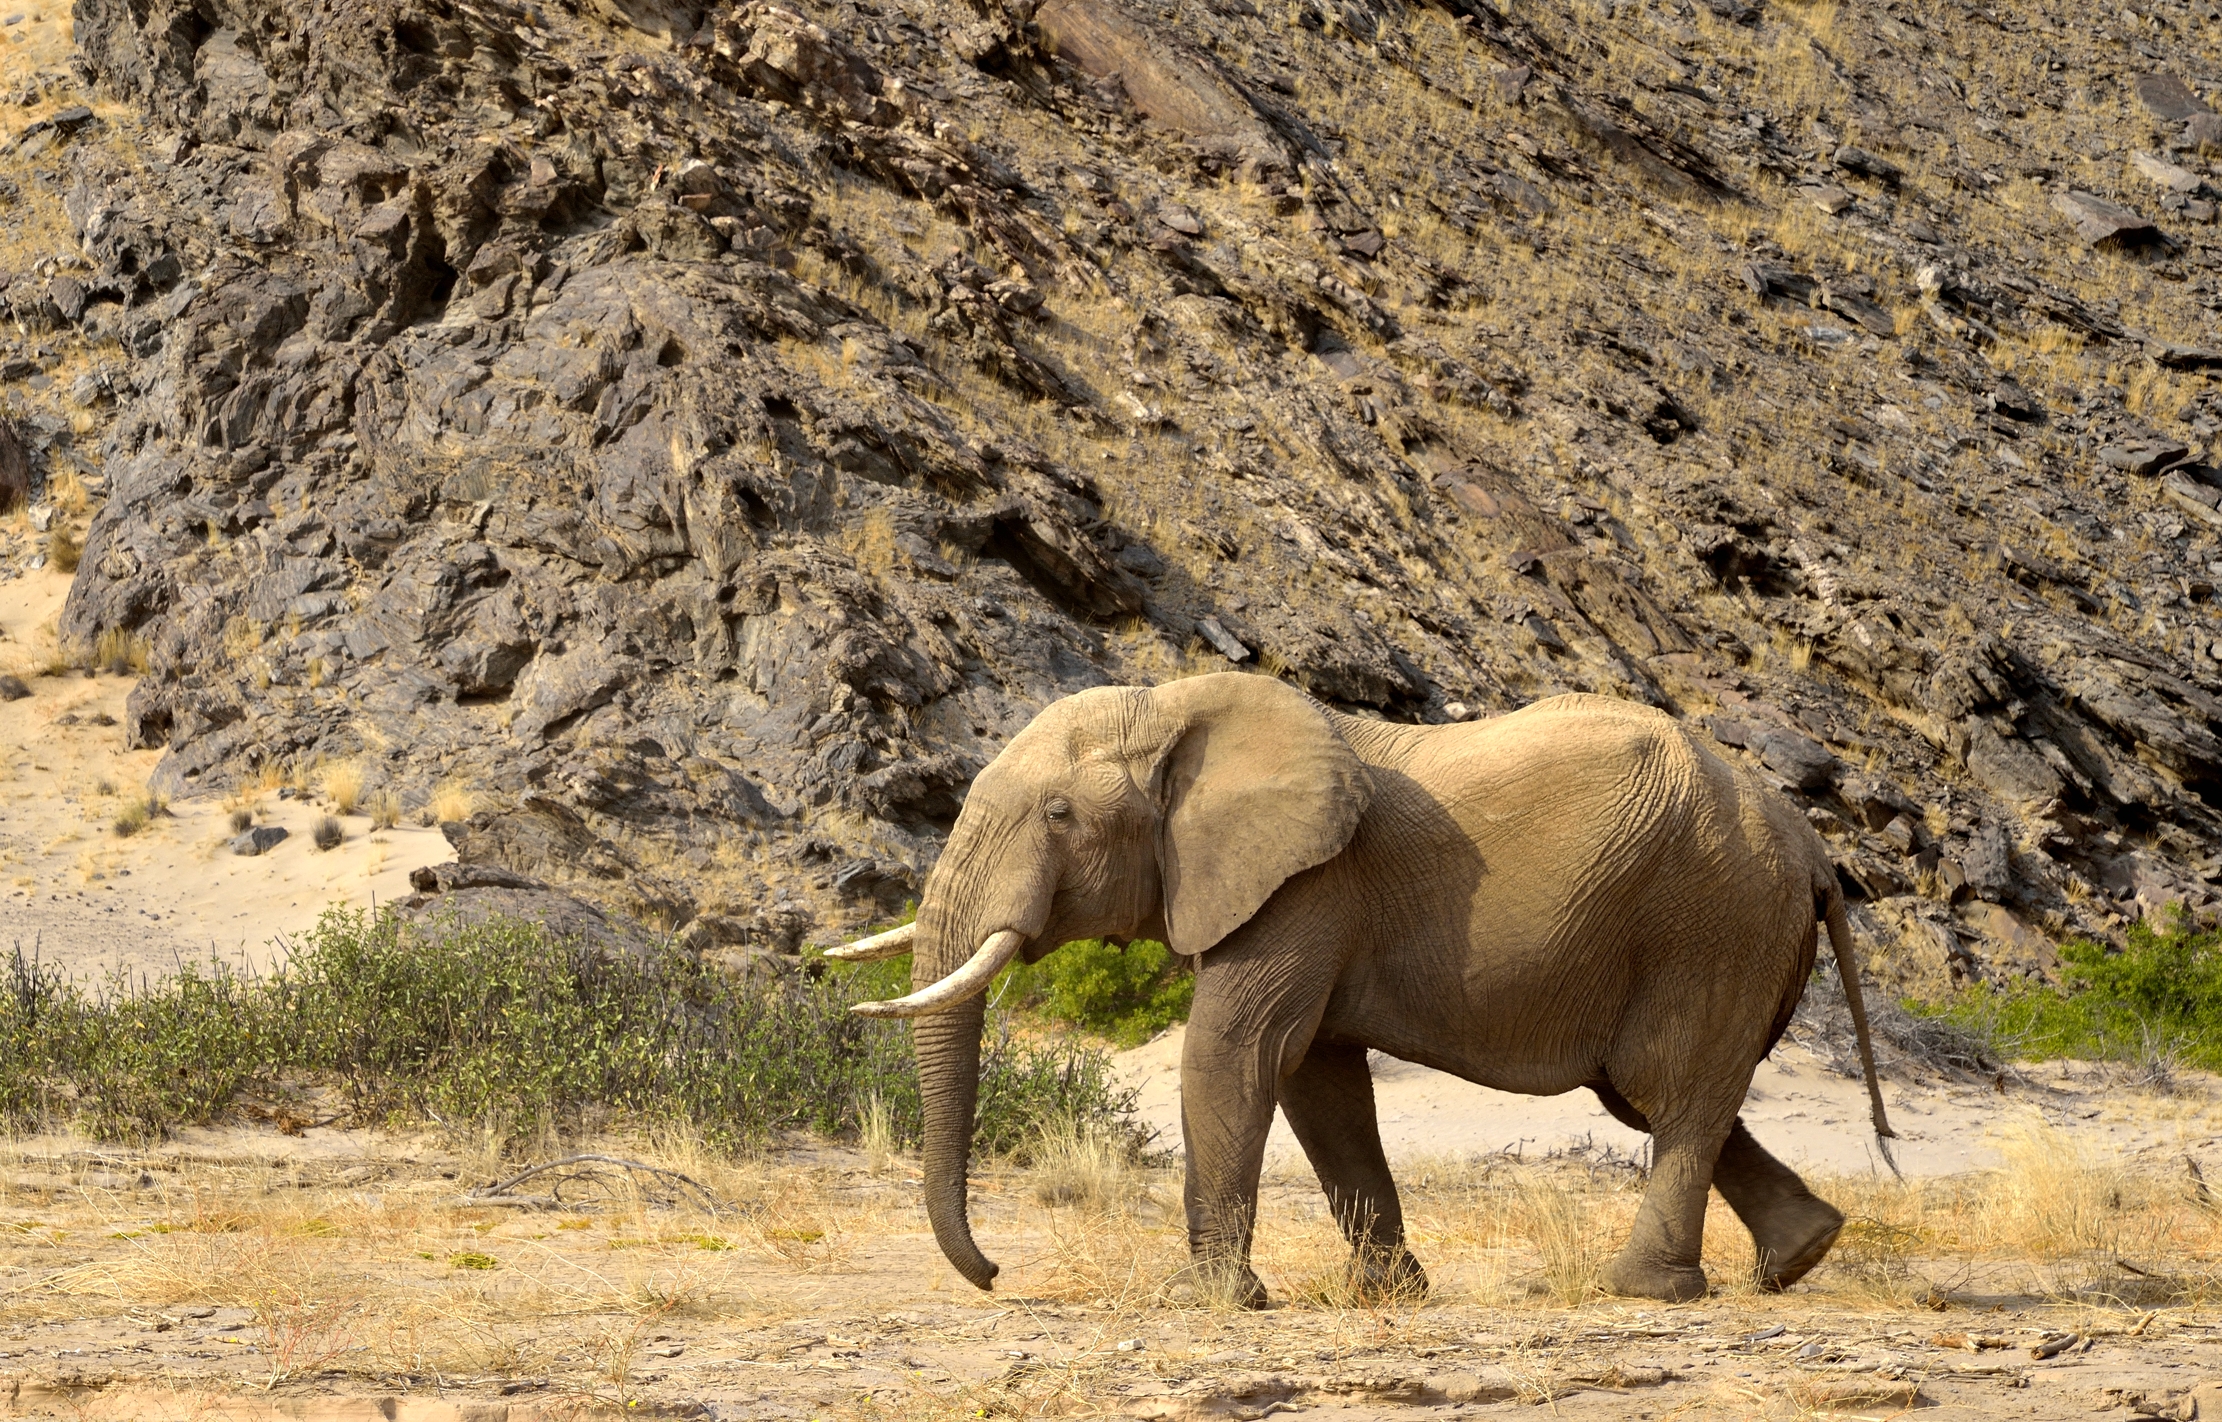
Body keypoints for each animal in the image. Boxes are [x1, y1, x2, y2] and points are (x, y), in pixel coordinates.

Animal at [832, 672, 1895, 1306]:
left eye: (1057, 813)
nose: (996, 1274)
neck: (1177, 706)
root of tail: (1812, 849)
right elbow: (1319, 1082)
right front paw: (1393, 1298)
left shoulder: (1308, 884)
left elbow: (1237, 1052)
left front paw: (1208, 1304)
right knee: (1662, 1096)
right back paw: (1801, 1256)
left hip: (1714, 922)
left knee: (1672, 1092)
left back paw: (1645, 1289)